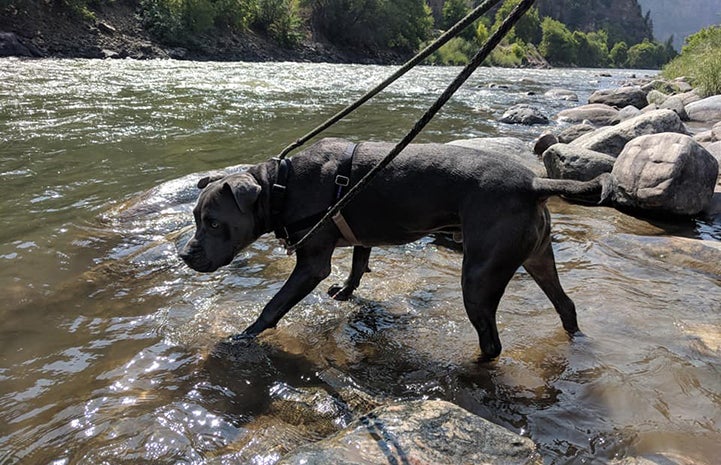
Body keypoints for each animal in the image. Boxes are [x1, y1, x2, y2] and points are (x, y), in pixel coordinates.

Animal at [177, 138, 612, 358]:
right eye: (195, 217)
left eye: (213, 222)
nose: (185, 255)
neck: (280, 186)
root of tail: (533, 184)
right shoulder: (361, 237)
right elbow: (358, 264)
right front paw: (347, 292)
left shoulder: (311, 264)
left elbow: (273, 306)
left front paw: (245, 335)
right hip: (538, 258)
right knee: (565, 304)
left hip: (479, 277)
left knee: (492, 344)